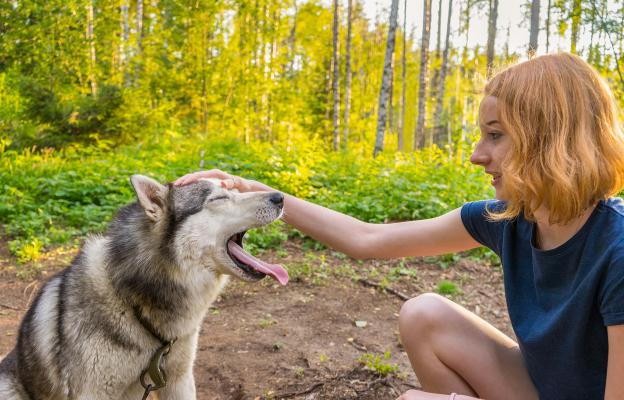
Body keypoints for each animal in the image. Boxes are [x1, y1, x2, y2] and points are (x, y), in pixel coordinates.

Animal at [0, 175, 288, 400]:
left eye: (235, 191)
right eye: (217, 199)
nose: (280, 197)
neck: (133, 298)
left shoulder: (179, 380)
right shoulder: (92, 392)